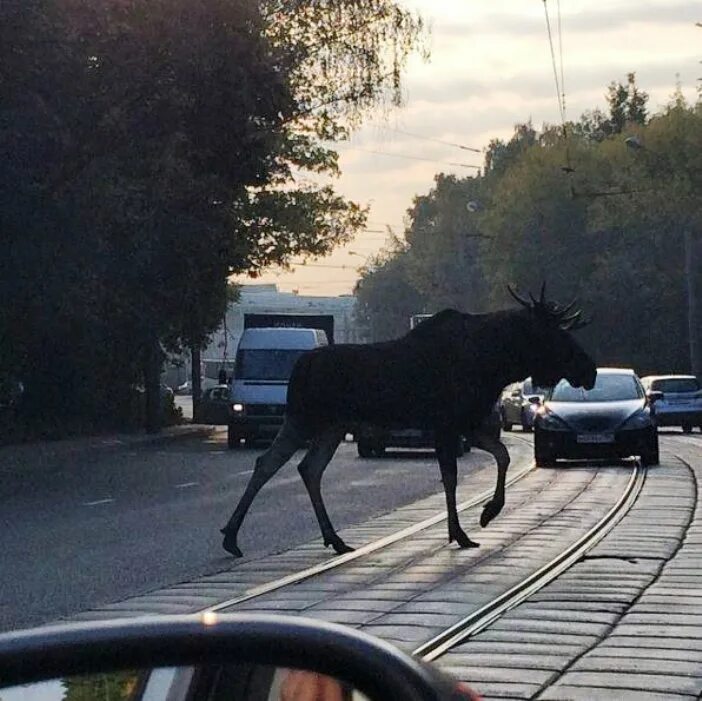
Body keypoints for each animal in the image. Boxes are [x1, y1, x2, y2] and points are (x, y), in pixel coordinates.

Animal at [223, 284, 596, 556]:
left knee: (302, 467)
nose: (589, 369)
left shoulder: (469, 424)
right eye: (556, 335)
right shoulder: (448, 424)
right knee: (272, 462)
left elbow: (501, 456)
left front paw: (486, 513)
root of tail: (301, 366)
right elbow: (451, 478)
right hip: (306, 418)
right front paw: (465, 528)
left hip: (330, 426)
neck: (496, 364)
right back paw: (232, 537)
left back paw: (331, 538)